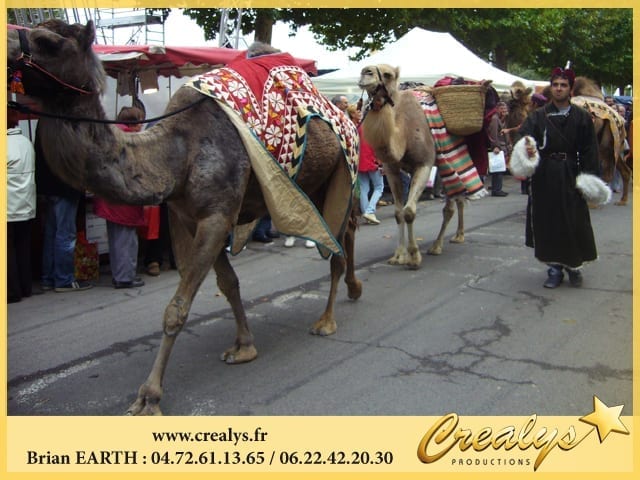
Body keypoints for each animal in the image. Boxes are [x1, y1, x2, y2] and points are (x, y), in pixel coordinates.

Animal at [7, 20, 362, 414]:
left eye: (47, 41)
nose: (8, 48)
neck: (178, 153)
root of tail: (349, 116)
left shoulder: (217, 215)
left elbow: (176, 308)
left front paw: (148, 396)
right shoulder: (188, 217)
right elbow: (228, 283)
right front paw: (244, 347)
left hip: (341, 175)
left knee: (339, 241)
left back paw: (327, 320)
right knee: (346, 234)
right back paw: (353, 289)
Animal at [356, 64, 480, 268]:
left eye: (387, 74)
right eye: (365, 70)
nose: (365, 72)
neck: (403, 134)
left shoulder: (424, 164)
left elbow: (409, 212)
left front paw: (414, 256)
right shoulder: (391, 168)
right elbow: (398, 213)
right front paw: (398, 255)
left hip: (451, 157)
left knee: (451, 205)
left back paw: (440, 245)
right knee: (458, 198)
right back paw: (456, 236)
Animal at [568, 76, 632, 205]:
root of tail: (621, 119)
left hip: (606, 143)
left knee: (606, 172)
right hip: (616, 146)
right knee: (624, 170)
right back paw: (622, 200)